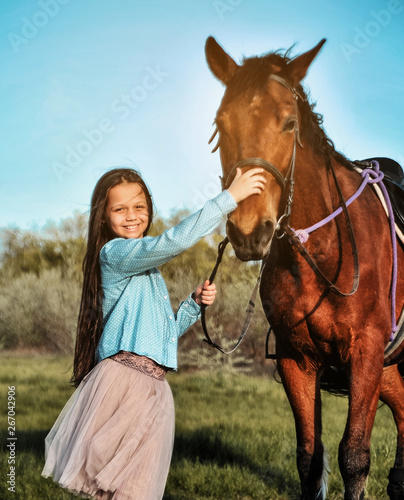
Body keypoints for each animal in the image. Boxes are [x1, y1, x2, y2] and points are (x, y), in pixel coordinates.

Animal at [205, 36, 404, 500]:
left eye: (289, 123)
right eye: (221, 123)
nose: (249, 229)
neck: (320, 254)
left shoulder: (366, 354)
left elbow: (354, 457)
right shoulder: (297, 359)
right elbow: (310, 460)